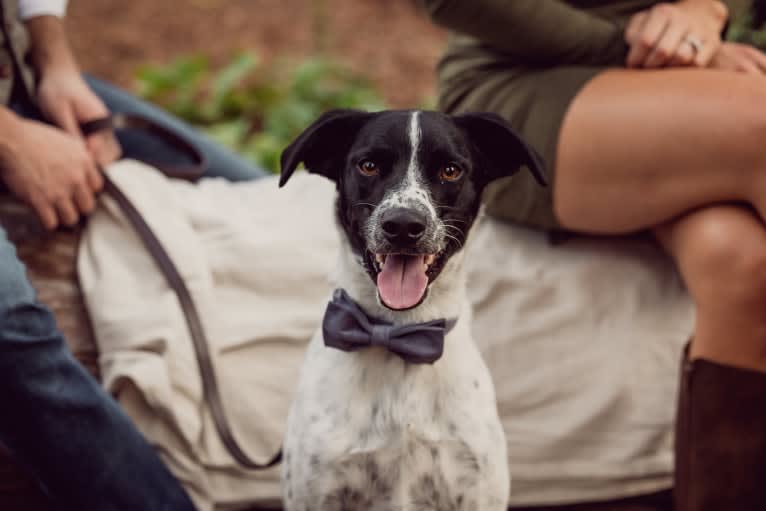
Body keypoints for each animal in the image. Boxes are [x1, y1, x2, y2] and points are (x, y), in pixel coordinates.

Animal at [280, 109, 544, 511]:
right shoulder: (316, 490)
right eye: (369, 165)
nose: (403, 225)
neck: (398, 333)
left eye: (450, 170)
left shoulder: (477, 489)